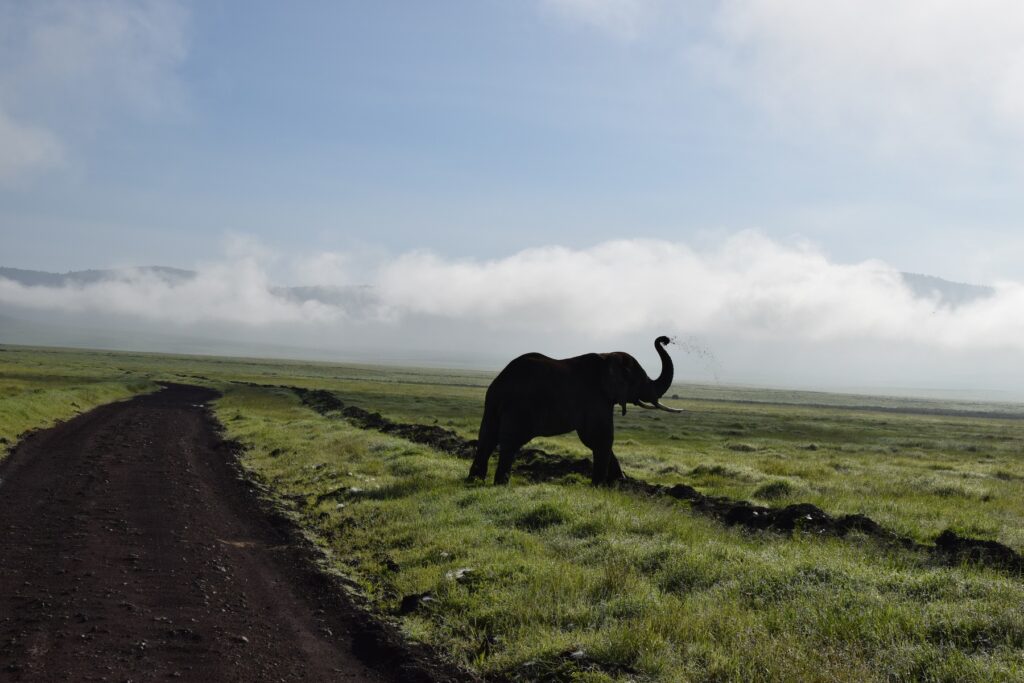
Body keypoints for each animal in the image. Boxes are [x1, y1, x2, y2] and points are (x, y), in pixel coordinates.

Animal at [467, 335, 683, 486]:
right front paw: (599, 487)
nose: (665, 339)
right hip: (520, 407)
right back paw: (501, 484)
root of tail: (501, 382)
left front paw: (620, 482)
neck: (607, 357)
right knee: (509, 442)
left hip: (492, 405)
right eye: (639, 380)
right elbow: (599, 437)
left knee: (487, 438)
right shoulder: (595, 398)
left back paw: (474, 481)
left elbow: (599, 439)